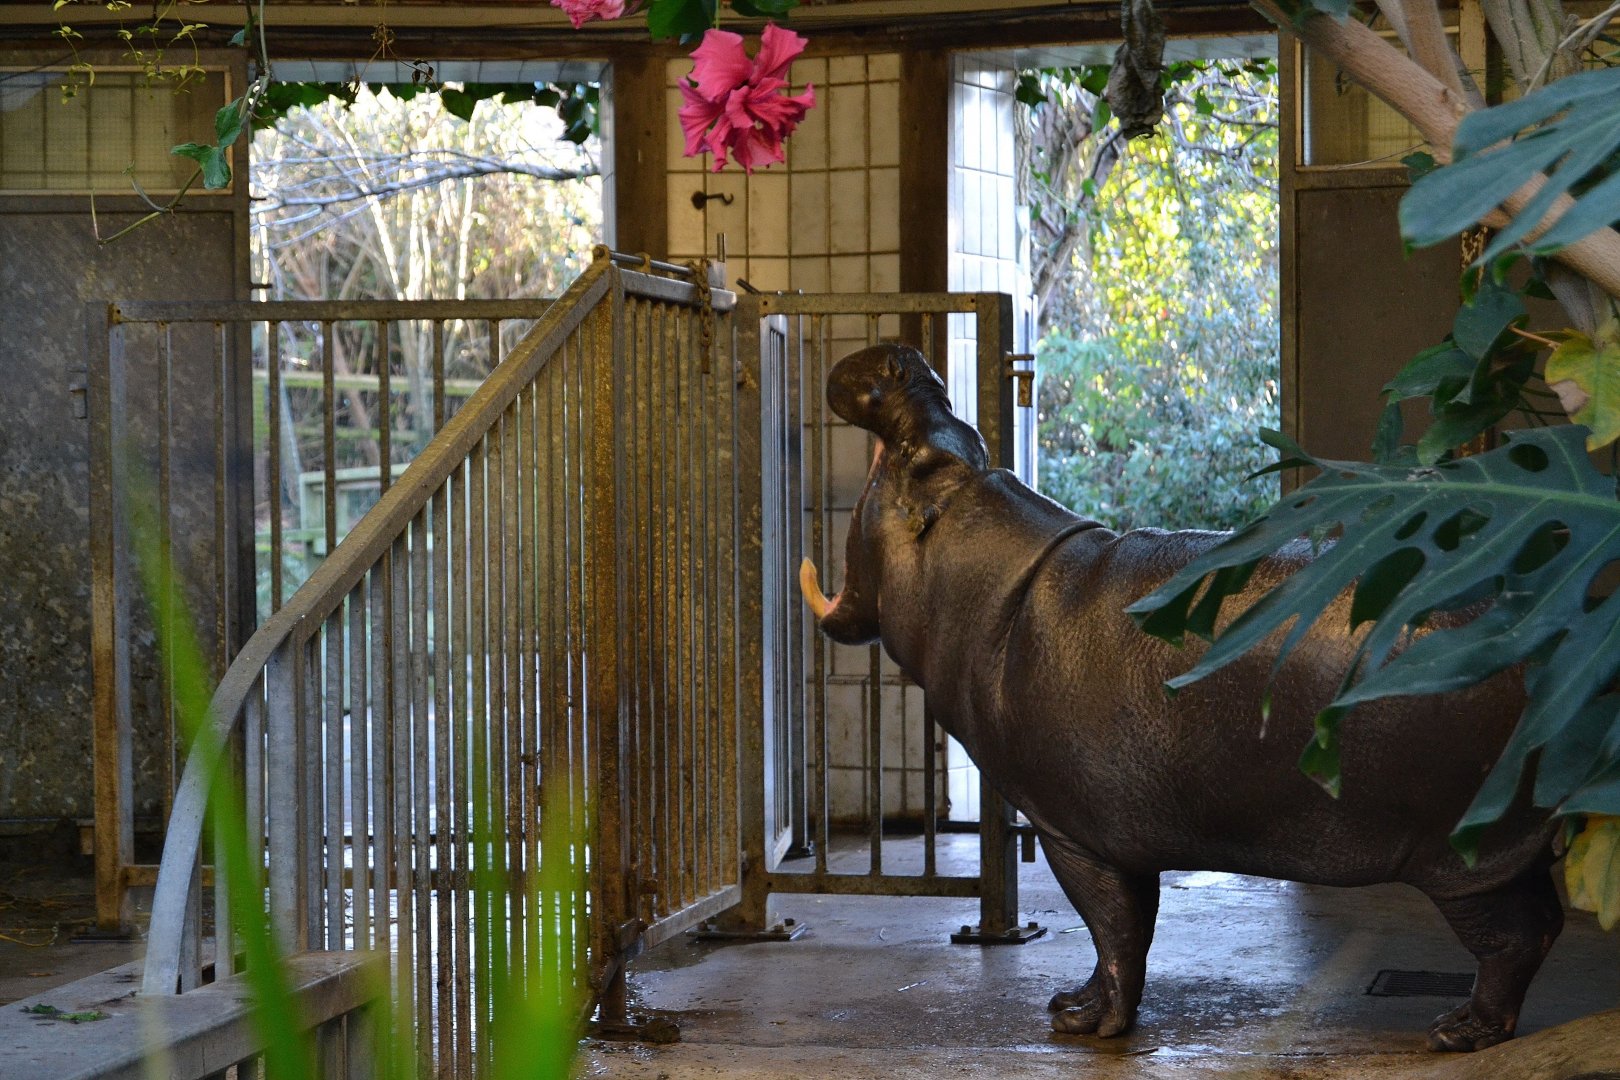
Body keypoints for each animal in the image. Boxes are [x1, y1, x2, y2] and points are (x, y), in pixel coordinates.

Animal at [797, 343, 1562, 1052]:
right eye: (966, 433)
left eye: (920, 456)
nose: (901, 358)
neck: (999, 582)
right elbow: (1131, 927)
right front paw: (1076, 1006)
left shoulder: (1074, 831)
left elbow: (1114, 925)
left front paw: (1081, 1023)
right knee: (1542, 921)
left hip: (1464, 854)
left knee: (1514, 937)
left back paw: (1457, 1031)